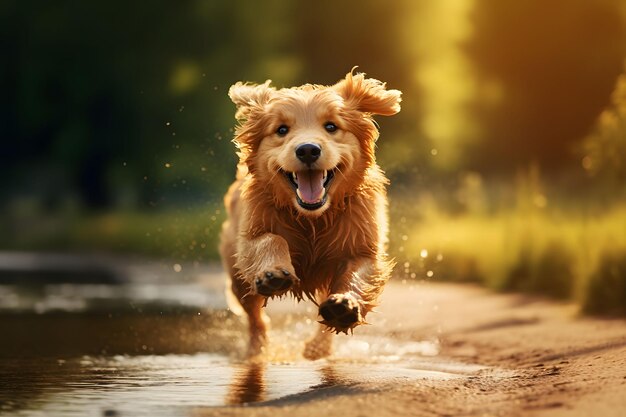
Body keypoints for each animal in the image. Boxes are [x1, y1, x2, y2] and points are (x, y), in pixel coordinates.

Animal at [221, 70, 400, 360]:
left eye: (331, 126)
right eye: (281, 129)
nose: (307, 150)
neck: (312, 220)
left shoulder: (361, 246)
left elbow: (358, 275)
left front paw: (345, 305)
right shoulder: (251, 235)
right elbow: (271, 240)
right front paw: (273, 273)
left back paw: (319, 345)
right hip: (237, 278)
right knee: (255, 317)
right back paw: (257, 350)